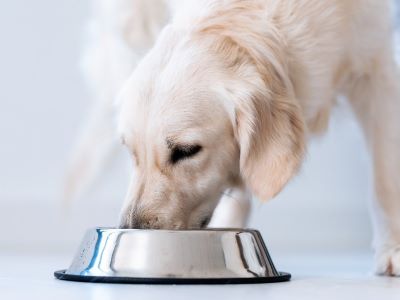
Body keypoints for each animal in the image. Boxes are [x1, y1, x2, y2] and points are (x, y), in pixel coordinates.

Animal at [67, 0, 398, 276]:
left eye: (186, 151)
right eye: (131, 151)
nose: (131, 229)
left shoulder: (377, 65)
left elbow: (385, 177)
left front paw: (392, 249)